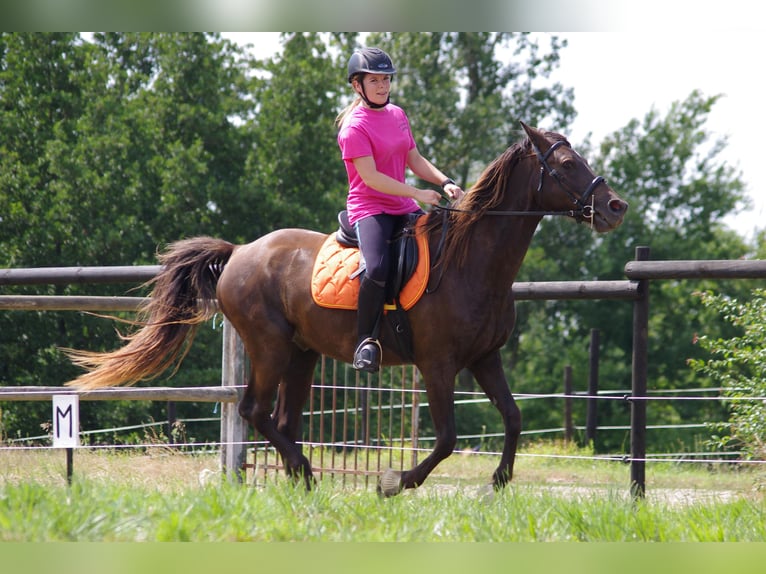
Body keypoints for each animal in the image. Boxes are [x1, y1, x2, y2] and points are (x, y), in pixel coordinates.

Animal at [64, 121, 632, 496]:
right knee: (254, 412)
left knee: (282, 419)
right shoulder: (438, 365)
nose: (615, 207)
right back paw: (306, 473)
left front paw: (498, 481)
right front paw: (393, 482)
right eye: (566, 164)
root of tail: (239, 252)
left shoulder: (484, 359)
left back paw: (300, 478)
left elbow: (512, 418)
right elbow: (448, 438)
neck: (471, 263)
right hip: (269, 347)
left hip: (302, 354)